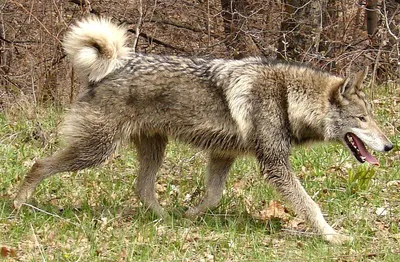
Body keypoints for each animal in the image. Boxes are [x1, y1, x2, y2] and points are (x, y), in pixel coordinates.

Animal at [14, 17, 392, 244]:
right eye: (362, 119)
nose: (390, 146)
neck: (287, 97)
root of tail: (115, 64)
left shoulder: (223, 155)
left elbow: (212, 196)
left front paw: (191, 216)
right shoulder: (274, 165)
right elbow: (310, 205)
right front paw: (333, 237)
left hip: (152, 149)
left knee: (142, 188)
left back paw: (165, 219)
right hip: (95, 151)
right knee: (39, 164)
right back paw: (18, 204)